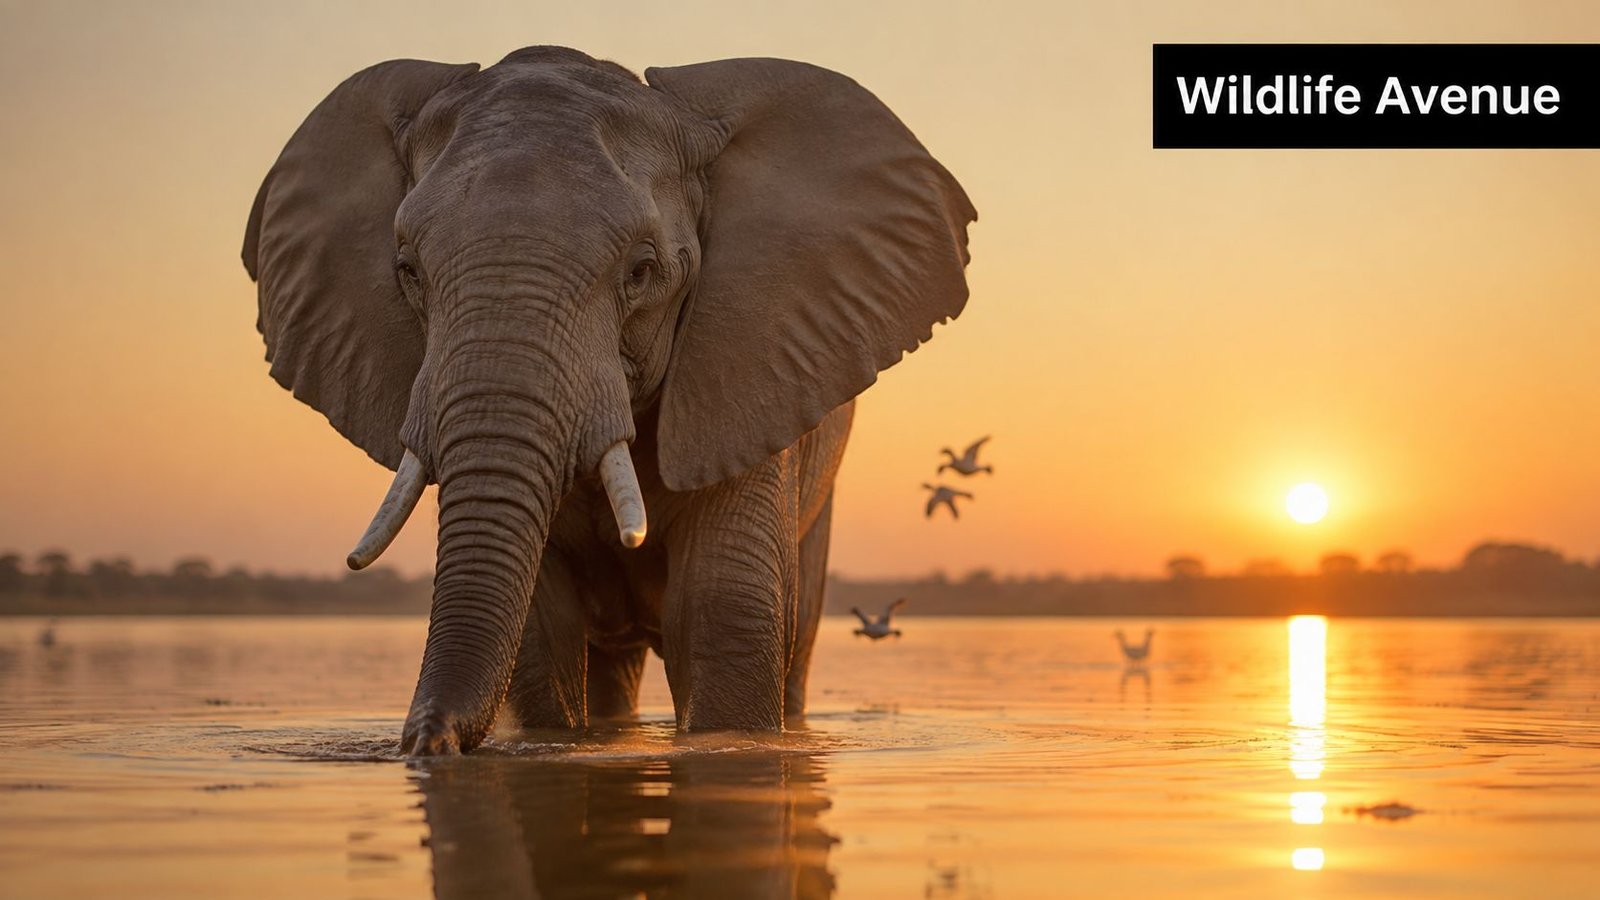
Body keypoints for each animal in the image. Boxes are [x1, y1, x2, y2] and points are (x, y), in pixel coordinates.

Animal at [242, 45, 976, 756]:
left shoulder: (750, 370)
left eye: (643, 271)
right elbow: (542, 635)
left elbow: (721, 611)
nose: (426, 744)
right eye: (407, 271)